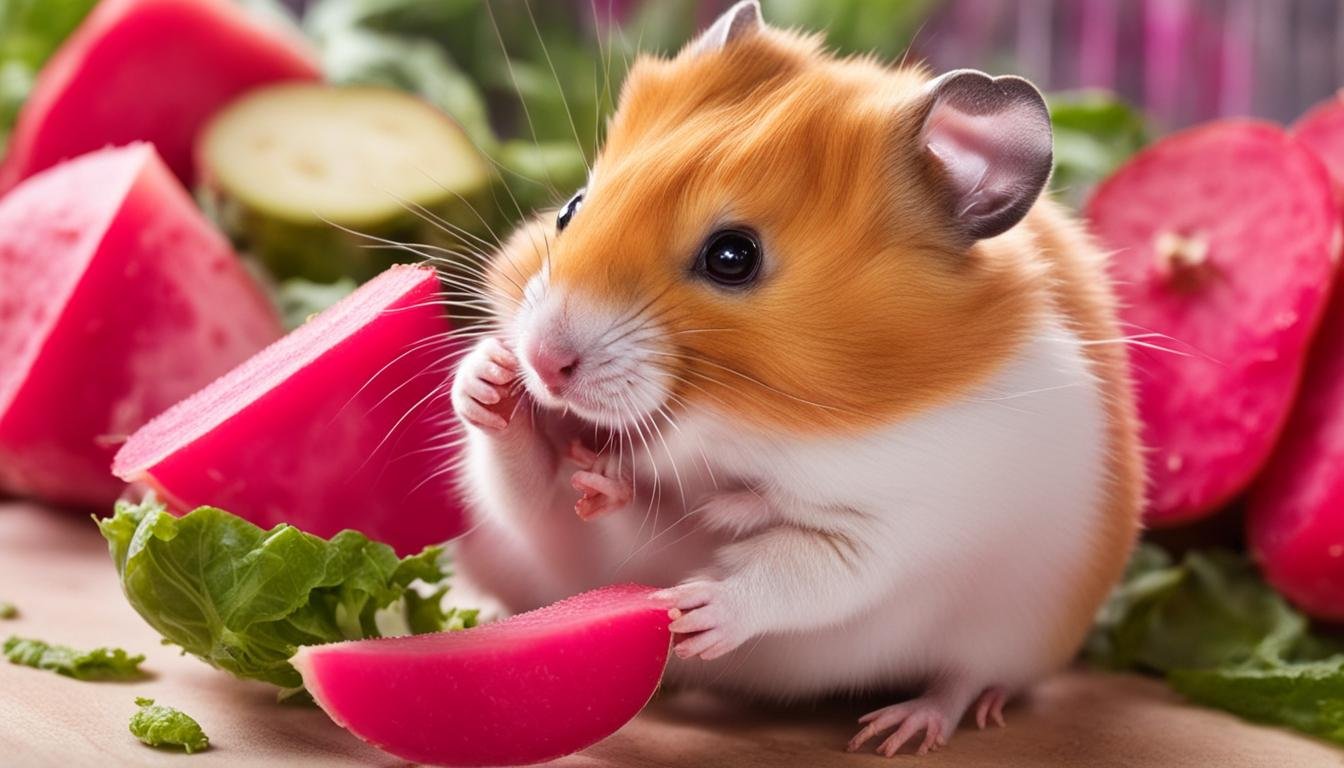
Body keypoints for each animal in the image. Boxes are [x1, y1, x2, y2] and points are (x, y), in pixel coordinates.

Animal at [449, 0, 1142, 756]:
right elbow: (532, 486)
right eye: (571, 206)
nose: (543, 361)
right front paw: (490, 382)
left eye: (733, 257)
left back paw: (901, 728)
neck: (747, 428)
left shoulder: (895, 527)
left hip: (1011, 638)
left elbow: (799, 570)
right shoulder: (564, 539)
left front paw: (692, 608)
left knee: (967, 680)